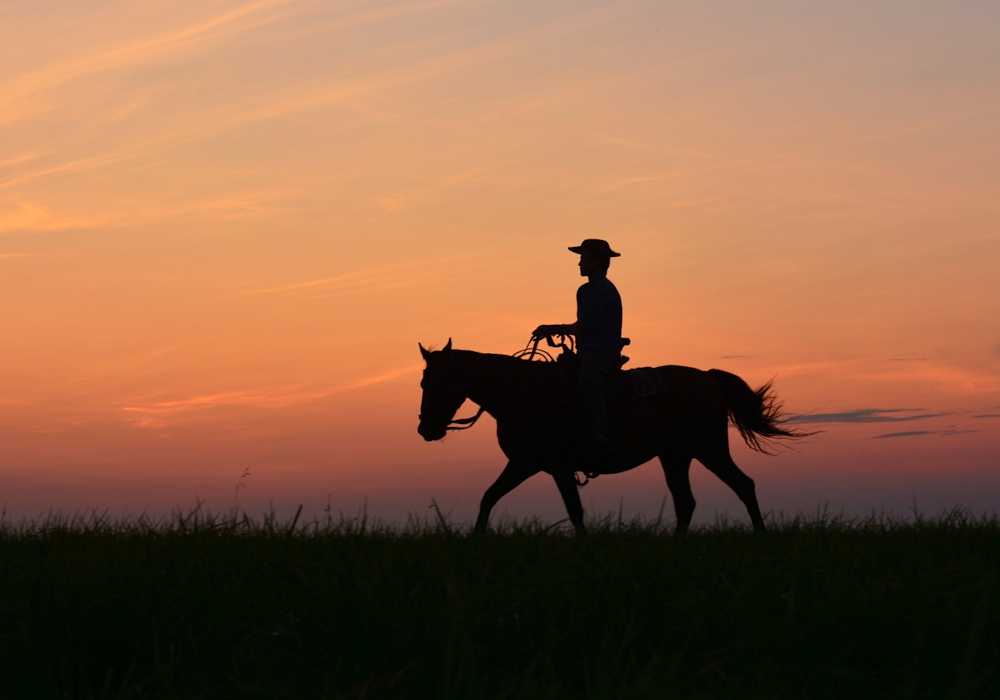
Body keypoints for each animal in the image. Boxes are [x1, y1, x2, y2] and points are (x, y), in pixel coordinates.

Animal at [414, 340, 804, 536]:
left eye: (437, 382)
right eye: (422, 382)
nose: (426, 430)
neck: (521, 392)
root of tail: (708, 378)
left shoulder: (544, 465)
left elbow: (573, 512)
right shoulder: (529, 464)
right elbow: (489, 497)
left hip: (709, 449)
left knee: (743, 485)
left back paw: (763, 539)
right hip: (675, 456)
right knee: (686, 502)